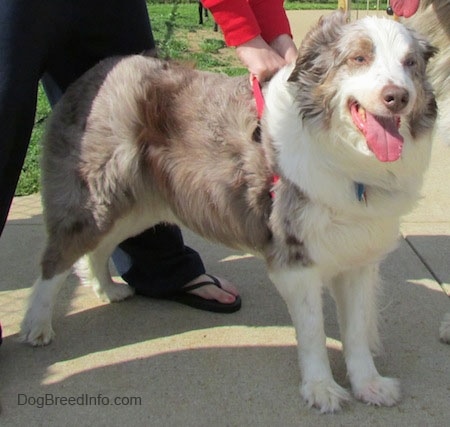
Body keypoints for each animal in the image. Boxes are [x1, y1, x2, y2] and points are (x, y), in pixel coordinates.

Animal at [20, 13, 436, 412]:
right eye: (359, 58)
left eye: (410, 63)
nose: (396, 97)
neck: (348, 156)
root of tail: (100, 69)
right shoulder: (295, 258)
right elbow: (314, 333)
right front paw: (321, 390)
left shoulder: (356, 256)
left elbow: (356, 333)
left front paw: (369, 385)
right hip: (98, 199)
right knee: (56, 259)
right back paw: (36, 326)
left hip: (139, 205)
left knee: (96, 250)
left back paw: (106, 289)